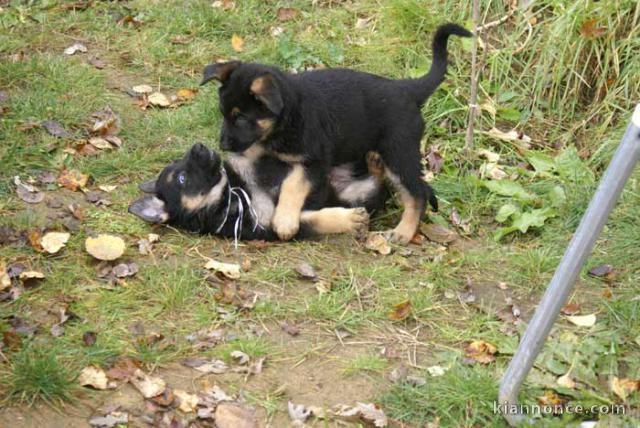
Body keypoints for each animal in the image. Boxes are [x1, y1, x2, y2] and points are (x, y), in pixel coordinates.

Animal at [129, 144, 384, 241]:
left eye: (178, 161)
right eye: (182, 178)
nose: (198, 147)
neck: (233, 193)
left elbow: (293, 177)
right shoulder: (270, 225)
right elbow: (316, 220)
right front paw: (350, 221)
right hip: (358, 193)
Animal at [202, 23, 472, 244]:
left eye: (241, 118)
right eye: (223, 114)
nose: (222, 145)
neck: (289, 116)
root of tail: (407, 89)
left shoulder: (315, 161)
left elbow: (293, 183)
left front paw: (285, 221)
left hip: (399, 152)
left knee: (418, 193)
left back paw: (404, 231)